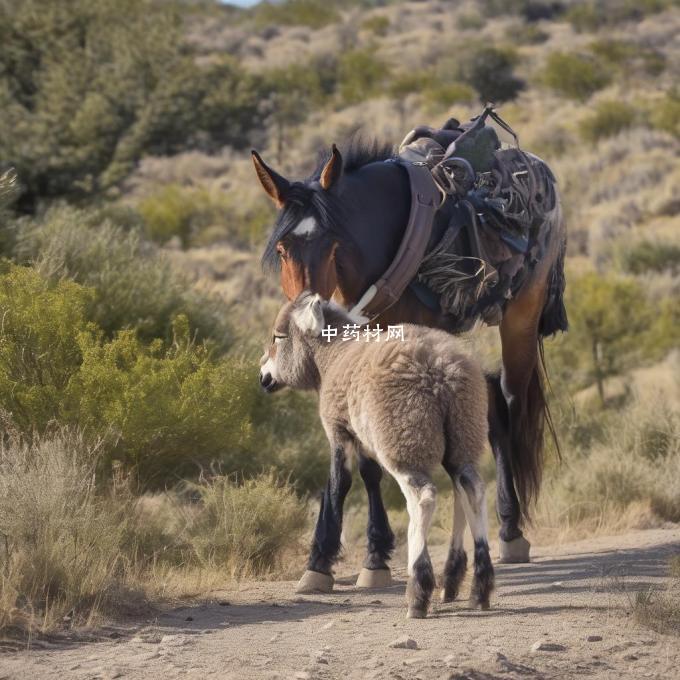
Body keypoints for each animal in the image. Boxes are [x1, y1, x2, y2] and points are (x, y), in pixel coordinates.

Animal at [260, 292, 494, 616]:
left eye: (279, 336)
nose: (263, 376)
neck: (334, 354)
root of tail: (442, 370)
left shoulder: (339, 432)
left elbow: (339, 485)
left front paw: (320, 565)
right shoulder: (364, 440)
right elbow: (370, 478)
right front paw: (374, 558)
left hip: (403, 440)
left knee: (423, 498)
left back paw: (418, 591)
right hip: (463, 436)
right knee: (472, 491)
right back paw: (477, 588)